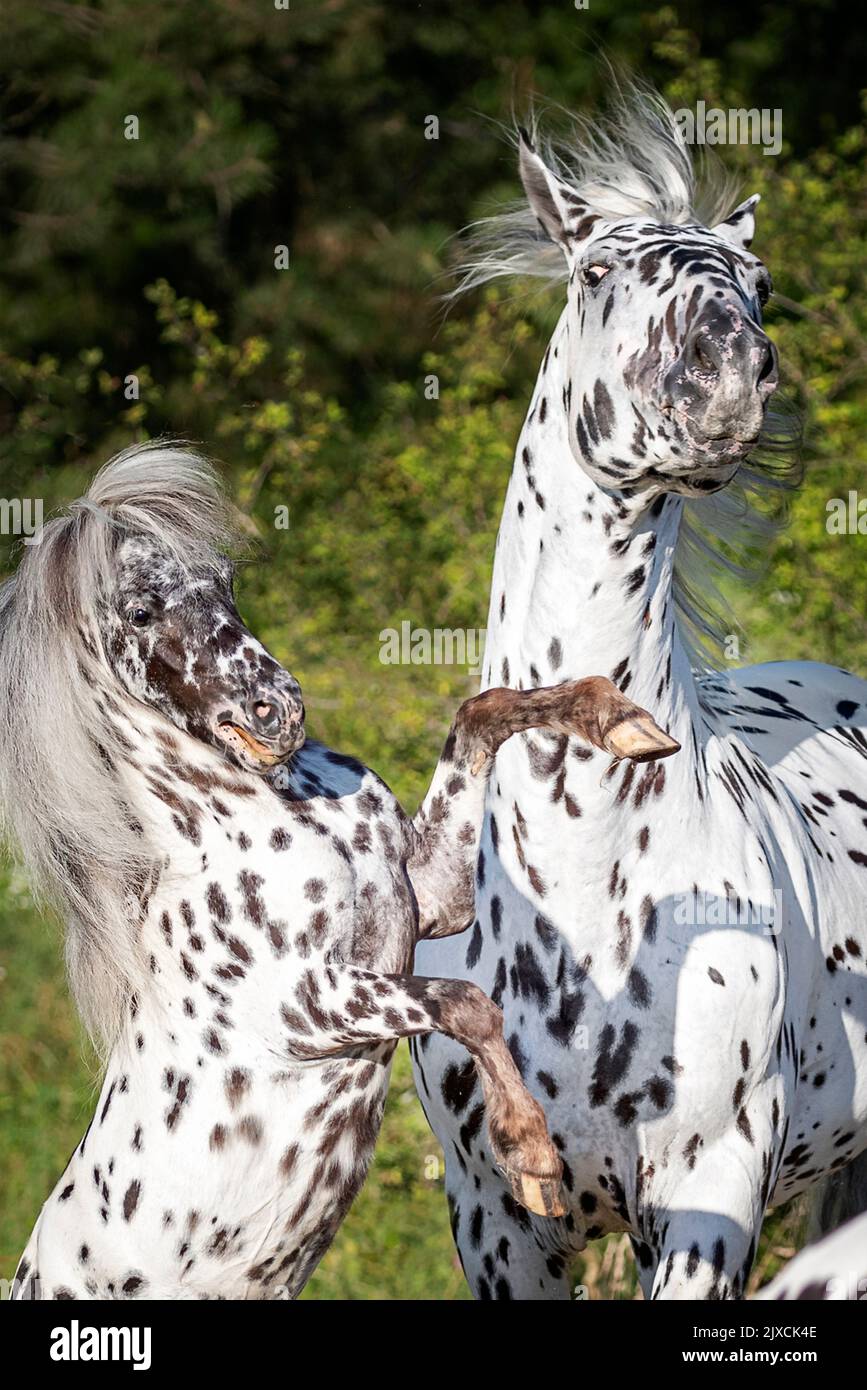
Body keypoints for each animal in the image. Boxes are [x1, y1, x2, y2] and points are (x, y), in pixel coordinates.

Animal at [2, 443, 677, 1300]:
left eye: (224, 579)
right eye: (141, 613)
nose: (276, 710)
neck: (268, 811)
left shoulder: (429, 898)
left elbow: (483, 713)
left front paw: (622, 724)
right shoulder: (307, 1004)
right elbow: (466, 1003)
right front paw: (531, 1161)